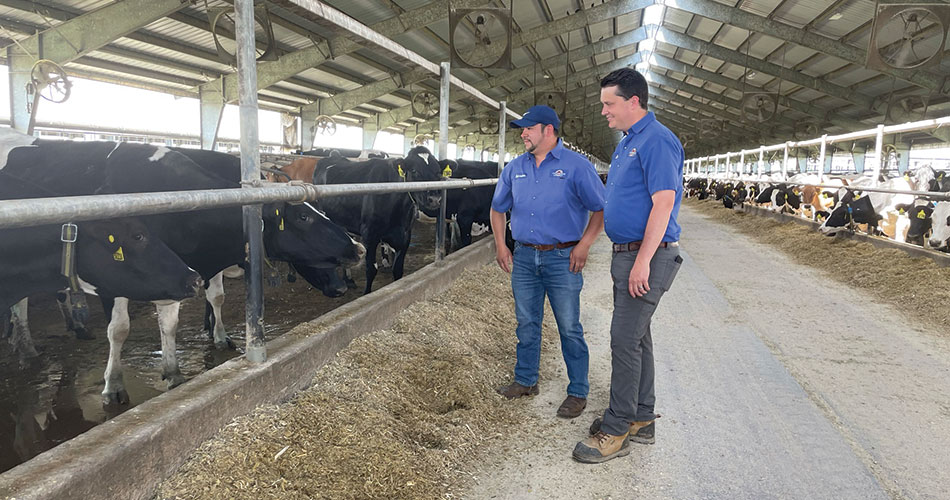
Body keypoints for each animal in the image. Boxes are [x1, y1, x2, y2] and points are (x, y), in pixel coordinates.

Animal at [312, 146, 446, 292]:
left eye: (438, 172)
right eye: (414, 170)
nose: (435, 199)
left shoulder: (405, 236)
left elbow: (398, 269)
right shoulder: (369, 236)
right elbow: (371, 269)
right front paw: (367, 293)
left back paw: (349, 280)